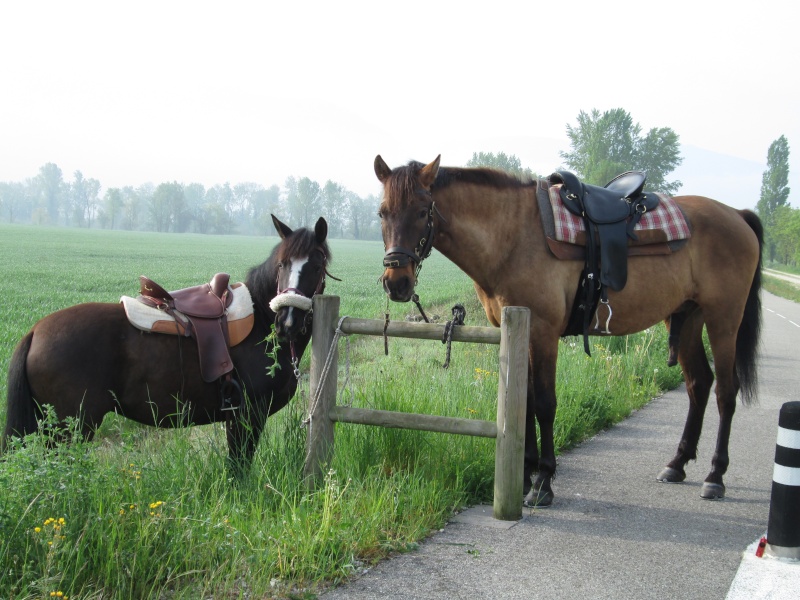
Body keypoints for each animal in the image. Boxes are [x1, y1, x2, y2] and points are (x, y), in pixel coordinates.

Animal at [0, 214, 332, 468]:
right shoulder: (246, 417)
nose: (287, 321)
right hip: (68, 431)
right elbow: (239, 468)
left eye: (316, 266)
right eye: (282, 264)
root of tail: (35, 331)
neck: (260, 321)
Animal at [376, 155, 764, 506]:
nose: (396, 282)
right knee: (699, 384)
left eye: (422, 211)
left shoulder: (543, 333)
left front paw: (543, 482)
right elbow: (525, 402)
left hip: (723, 319)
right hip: (686, 318)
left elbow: (545, 404)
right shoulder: (518, 333)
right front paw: (525, 474)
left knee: (726, 392)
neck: (512, 236)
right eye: (382, 213)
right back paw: (677, 464)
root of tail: (736, 214)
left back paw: (715, 476)